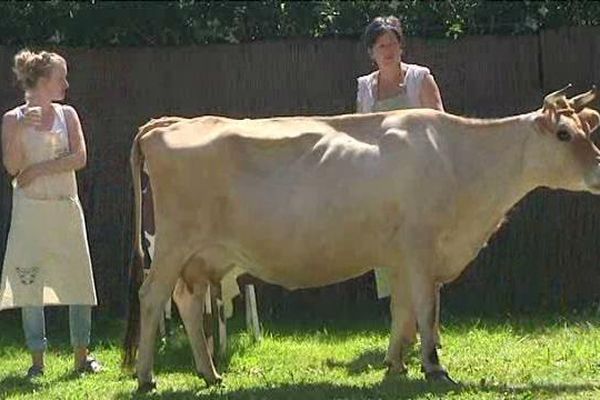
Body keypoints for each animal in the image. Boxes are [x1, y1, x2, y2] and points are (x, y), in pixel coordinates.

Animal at [122, 86, 600, 392]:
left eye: (587, 132)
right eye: (564, 134)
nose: (599, 170)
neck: (460, 159)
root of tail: (169, 123)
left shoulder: (402, 257)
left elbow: (403, 312)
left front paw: (396, 365)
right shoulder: (421, 249)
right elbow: (426, 309)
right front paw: (434, 368)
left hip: (203, 256)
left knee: (185, 302)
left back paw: (209, 373)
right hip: (173, 245)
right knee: (152, 297)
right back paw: (147, 377)